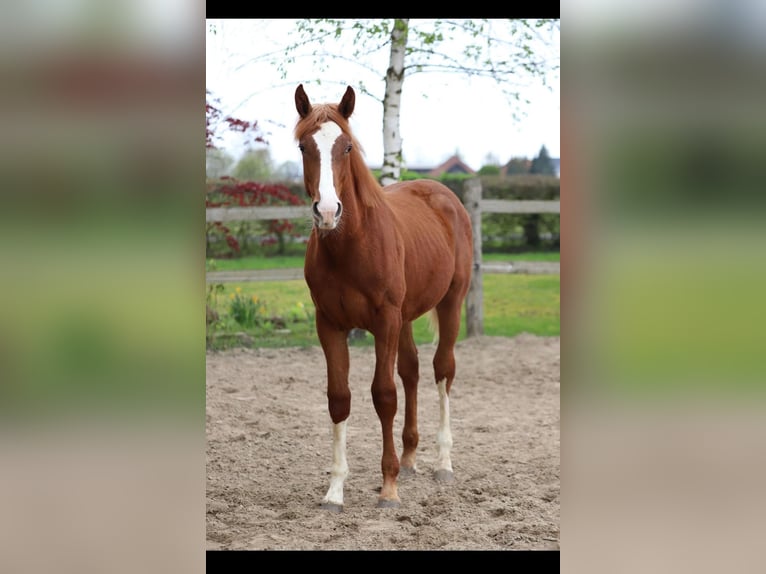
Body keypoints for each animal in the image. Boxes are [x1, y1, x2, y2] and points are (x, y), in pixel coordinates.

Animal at [294, 84, 473, 510]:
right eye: (304, 147)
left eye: (346, 147)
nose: (327, 211)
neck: (351, 245)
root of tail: (444, 195)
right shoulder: (329, 324)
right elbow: (339, 398)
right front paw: (335, 491)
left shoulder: (385, 321)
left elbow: (384, 395)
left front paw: (388, 487)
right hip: (406, 317)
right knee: (412, 371)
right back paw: (409, 458)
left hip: (450, 303)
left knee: (443, 370)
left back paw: (443, 462)